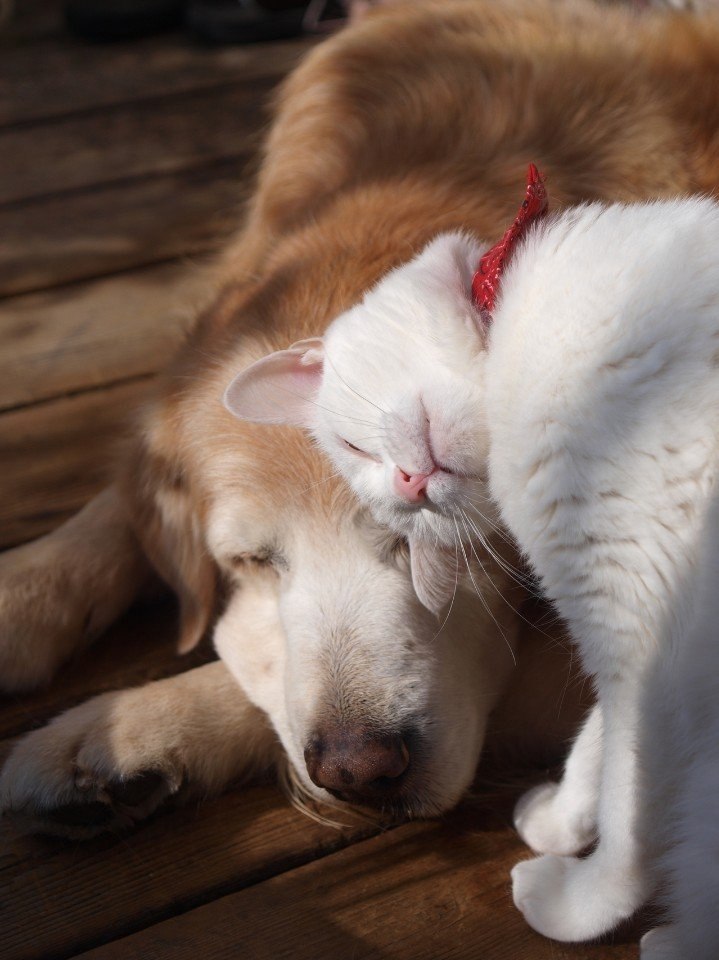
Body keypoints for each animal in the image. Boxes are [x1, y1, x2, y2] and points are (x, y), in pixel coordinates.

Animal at [1, 0, 719, 856]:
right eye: (249, 559)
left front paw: (129, 728)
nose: (358, 768)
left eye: (438, 543)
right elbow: (118, 502)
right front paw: (22, 597)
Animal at [228, 189, 719, 960]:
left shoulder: (650, 651)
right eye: (363, 465)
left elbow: (629, 818)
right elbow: (599, 748)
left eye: (349, 445)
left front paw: (573, 905)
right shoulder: (622, 636)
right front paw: (559, 820)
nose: (408, 488)